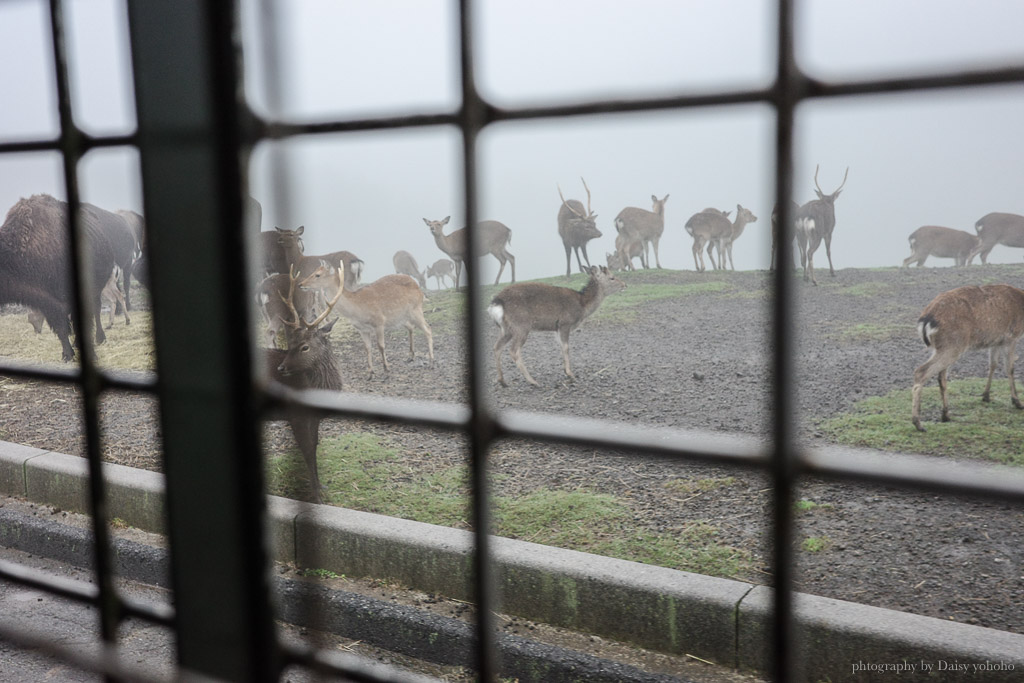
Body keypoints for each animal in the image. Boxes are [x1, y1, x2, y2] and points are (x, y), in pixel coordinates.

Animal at [262, 264, 346, 505]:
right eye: (290, 344)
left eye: (305, 347)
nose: (281, 368)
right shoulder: (295, 414)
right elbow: (307, 449)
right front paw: (316, 496)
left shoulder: (314, 416)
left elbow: (315, 446)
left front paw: (321, 486)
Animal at [299, 259, 436, 376]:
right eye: (313, 271)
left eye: (317, 275)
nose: (301, 284)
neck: (357, 309)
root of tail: (419, 288)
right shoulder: (361, 329)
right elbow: (367, 348)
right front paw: (370, 372)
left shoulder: (379, 322)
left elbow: (381, 346)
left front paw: (386, 368)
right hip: (401, 318)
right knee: (411, 327)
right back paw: (410, 356)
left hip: (416, 310)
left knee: (428, 329)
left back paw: (431, 362)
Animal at [487, 264, 622, 387]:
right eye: (612, 277)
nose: (624, 285)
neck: (582, 306)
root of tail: (496, 303)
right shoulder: (565, 323)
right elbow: (566, 347)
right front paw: (570, 374)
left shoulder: (556, 328)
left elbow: (562, 347)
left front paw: (566, 372)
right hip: (521, 326)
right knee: (513, 351)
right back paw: (533, 381)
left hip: (506, 329)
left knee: (496, 347)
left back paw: (502, 381)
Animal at [913, 282, 1024, 432]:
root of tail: (926, 320)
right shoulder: (1011, 337)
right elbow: (1010, 368)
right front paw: (1017, 402)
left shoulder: (996, 340)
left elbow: (993, 364)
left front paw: (986, 396)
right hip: (953, 345)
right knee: (921, 372)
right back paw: (918, 423)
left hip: (942, 347)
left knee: (941, 377)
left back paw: (946, 415)